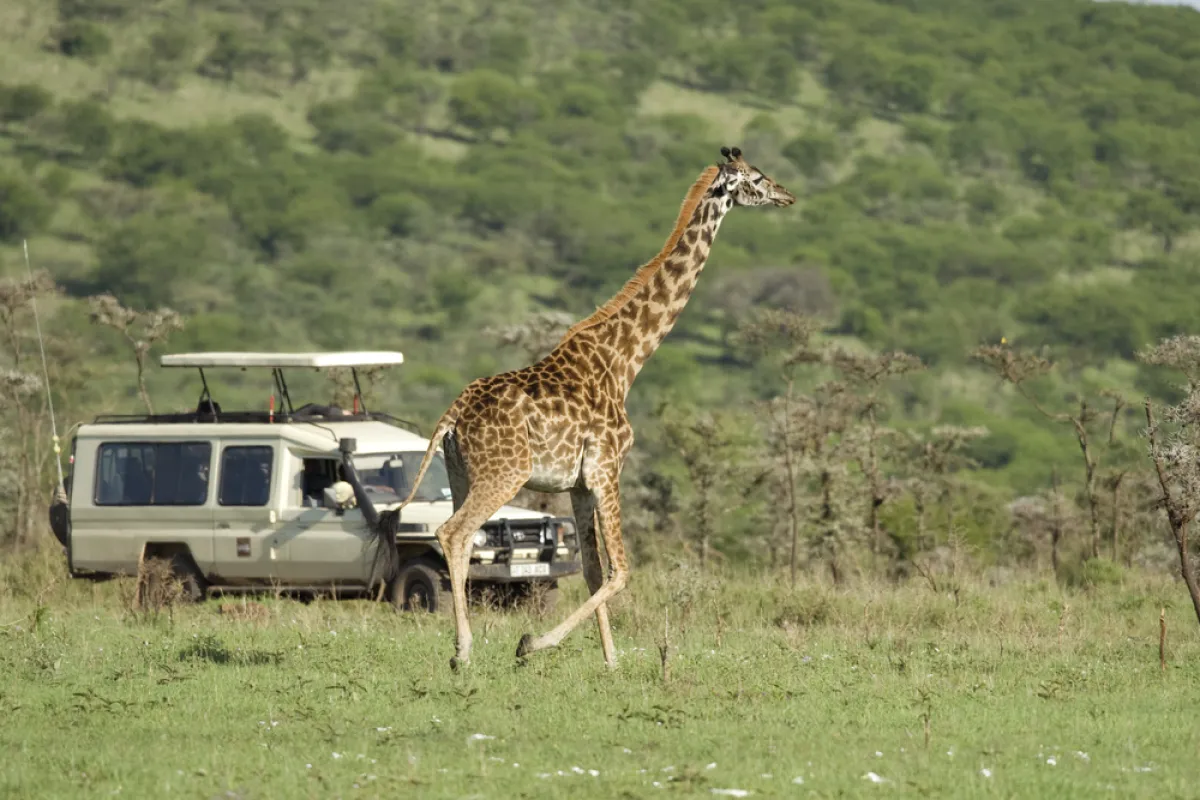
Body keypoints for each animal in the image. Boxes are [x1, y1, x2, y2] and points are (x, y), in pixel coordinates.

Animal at [376, 146, 795, 670]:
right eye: (757, 178)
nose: (787, 195)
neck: (625, 360)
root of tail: (451, 417)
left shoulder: (576, 483)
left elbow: (595, 571)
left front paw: (611, 661)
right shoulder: (607, 467)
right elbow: (621, 570)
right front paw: (533, 643)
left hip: (460, 473)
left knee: (460, 536)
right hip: (504, 472)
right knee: (454, 533)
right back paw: (463, 653)